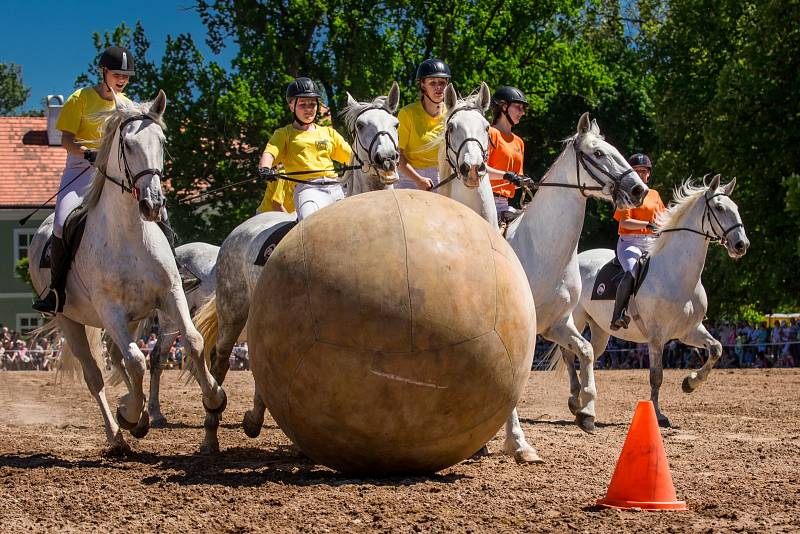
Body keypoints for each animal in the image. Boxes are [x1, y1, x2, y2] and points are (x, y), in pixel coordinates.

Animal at [29, 91, 223, 452]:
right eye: (128, 145)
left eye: (162, 141)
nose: (153, 204)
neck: (130, 234)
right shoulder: (110, 310)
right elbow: (135, 361)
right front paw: (130, 415)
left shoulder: (171, 295)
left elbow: (192, 341)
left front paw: (215, 397)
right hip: (71, 320)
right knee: (97, 374)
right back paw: (118, 432)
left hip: (134, 318)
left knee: (121, 358)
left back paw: (139, 415)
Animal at [193, 82, 404, 452]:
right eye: (362, 126)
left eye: (393, 123)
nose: (387, 159)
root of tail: (239, 231)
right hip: (234, 309)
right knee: (219, 359)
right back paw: (210, 435)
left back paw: (253, 420)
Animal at [438, 105, 648, 464]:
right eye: (598, 153)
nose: (638, 190)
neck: (544, 249)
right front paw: (519, 443)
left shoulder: (557, 323)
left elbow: (586, 351)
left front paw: (586, 410)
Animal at [564, 178, 748, 430]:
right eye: (719, 208)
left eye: (736, 207)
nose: (741, 245)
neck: (677, 275)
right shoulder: (656, 336)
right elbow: (656, 376)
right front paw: (658, 415)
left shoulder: (689, 331)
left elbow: (716, 349)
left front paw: (689, 383)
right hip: (576, 319)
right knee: (569, 353)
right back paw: (575, 400)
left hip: (600, 330)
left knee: (586, 355)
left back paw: (582, 404)